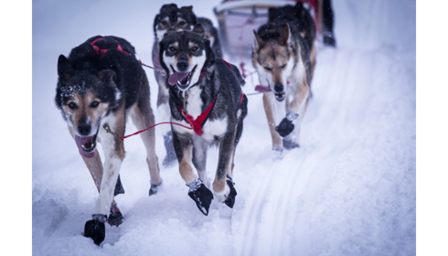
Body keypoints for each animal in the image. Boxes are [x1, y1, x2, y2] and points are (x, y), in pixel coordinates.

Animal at [54, 35, 162, 245]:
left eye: (95, 103)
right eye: (72, 104)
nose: (84, 128)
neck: (88, 68)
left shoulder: (115, 144)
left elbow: (105, 184)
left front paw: (98, 220)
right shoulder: (85, 147)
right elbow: (99, 178)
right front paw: (112, 212)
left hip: (142, 116)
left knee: (152, 155)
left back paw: (156, 186)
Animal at [158, 24, 248, 216]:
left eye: (194, 48)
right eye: (172, 48)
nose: (182, 64)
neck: (191, 91)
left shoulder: (227, 133)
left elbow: (221, 169)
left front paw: (222, 192)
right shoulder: (181, 136)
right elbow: (183, 167)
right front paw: (199, 191)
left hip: (236, 131)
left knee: (230, 162)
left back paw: (228, 187)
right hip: (199, 145)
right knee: (200, 166)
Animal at [252, 2, 316, 152]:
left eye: (284, 65)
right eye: (267, 68)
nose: (279, 88)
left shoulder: (302, 87)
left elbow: (293, 107)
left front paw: (286, 125)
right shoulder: (268, 95)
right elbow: (272, 124)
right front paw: (277, 147)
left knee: (297, 121)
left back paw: (294, 140)